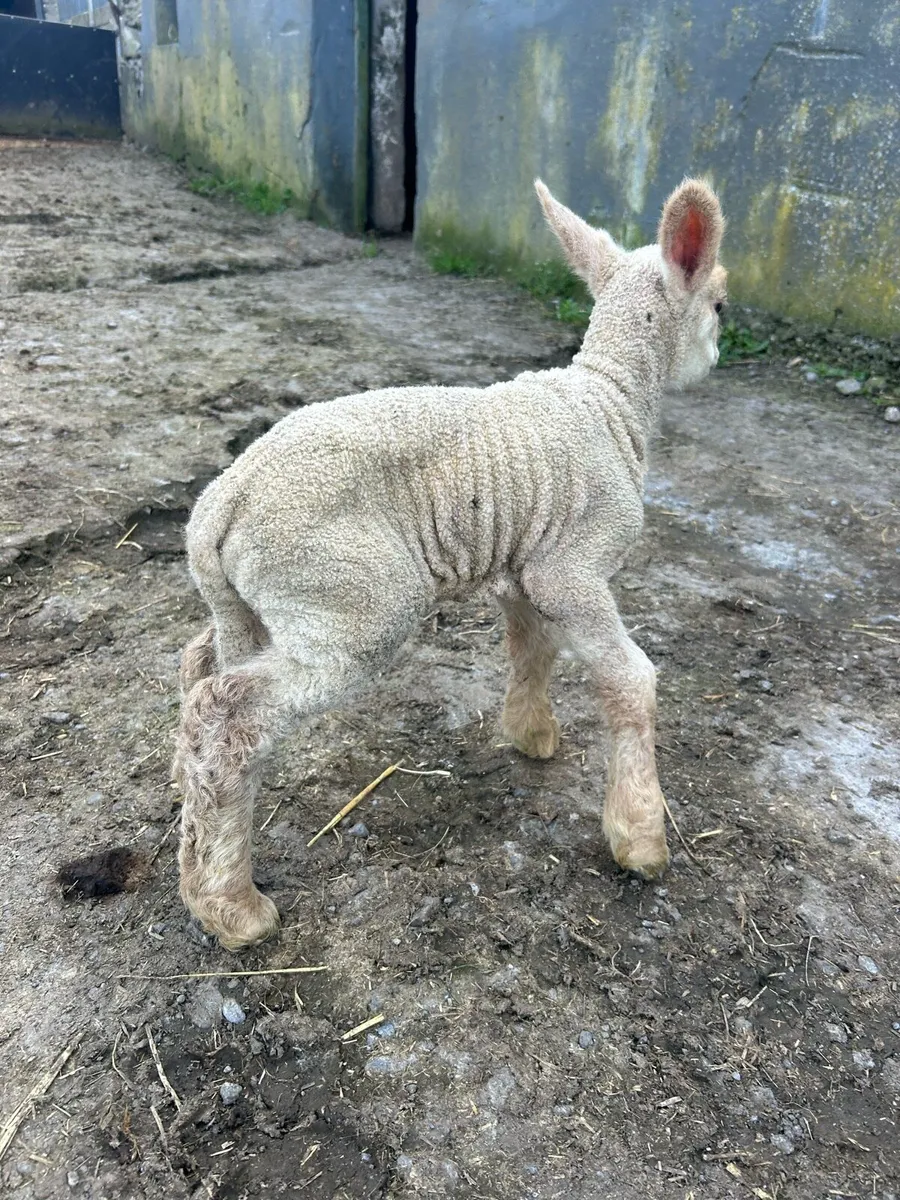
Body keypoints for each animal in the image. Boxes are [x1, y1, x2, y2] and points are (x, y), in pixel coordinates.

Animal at [172, 177, 727, 950]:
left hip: (252, 605)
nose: (722, 353)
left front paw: (531, 733)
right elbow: (630, 682)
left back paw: (195, 837)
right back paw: (233, 908)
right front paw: (640, 836)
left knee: (198, 669)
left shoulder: (523, 565)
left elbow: (531, 647)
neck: (610, 399)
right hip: (348, 600)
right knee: (227, 716)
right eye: (720, 305)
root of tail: (222, 505)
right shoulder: (572, 567)